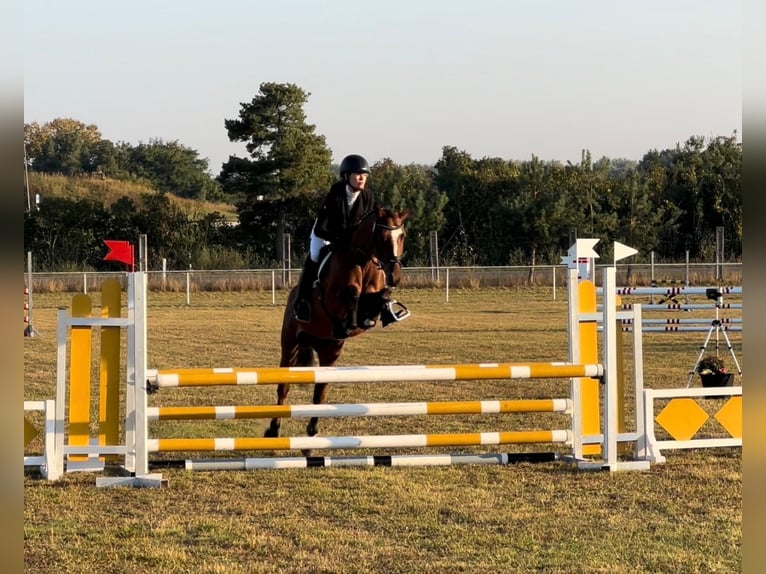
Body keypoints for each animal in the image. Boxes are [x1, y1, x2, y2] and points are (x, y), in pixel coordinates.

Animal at [268, 207, 414, 450]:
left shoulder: (375, 291)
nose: (395, 276)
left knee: (320, 393)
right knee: (283, 388)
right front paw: (351, 321)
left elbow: (382, 295)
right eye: (382, 237)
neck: (363, 260)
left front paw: (378, 313)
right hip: (290, 344)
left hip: (330, 351)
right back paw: (273, 429)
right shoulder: (333, 297)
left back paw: (313, 432)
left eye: (402, 236)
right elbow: (351, 293)